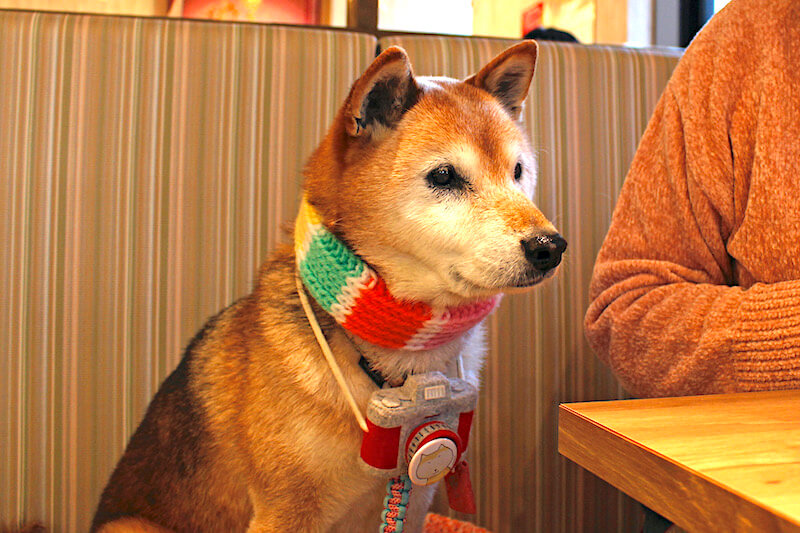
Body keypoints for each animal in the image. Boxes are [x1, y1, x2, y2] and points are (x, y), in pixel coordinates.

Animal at [92, 41, 564, 532]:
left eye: (517, 171)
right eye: (444, 176)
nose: (550, 246)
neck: (401, 368)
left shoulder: (415, 497)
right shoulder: (285, 511)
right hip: (129, 524)